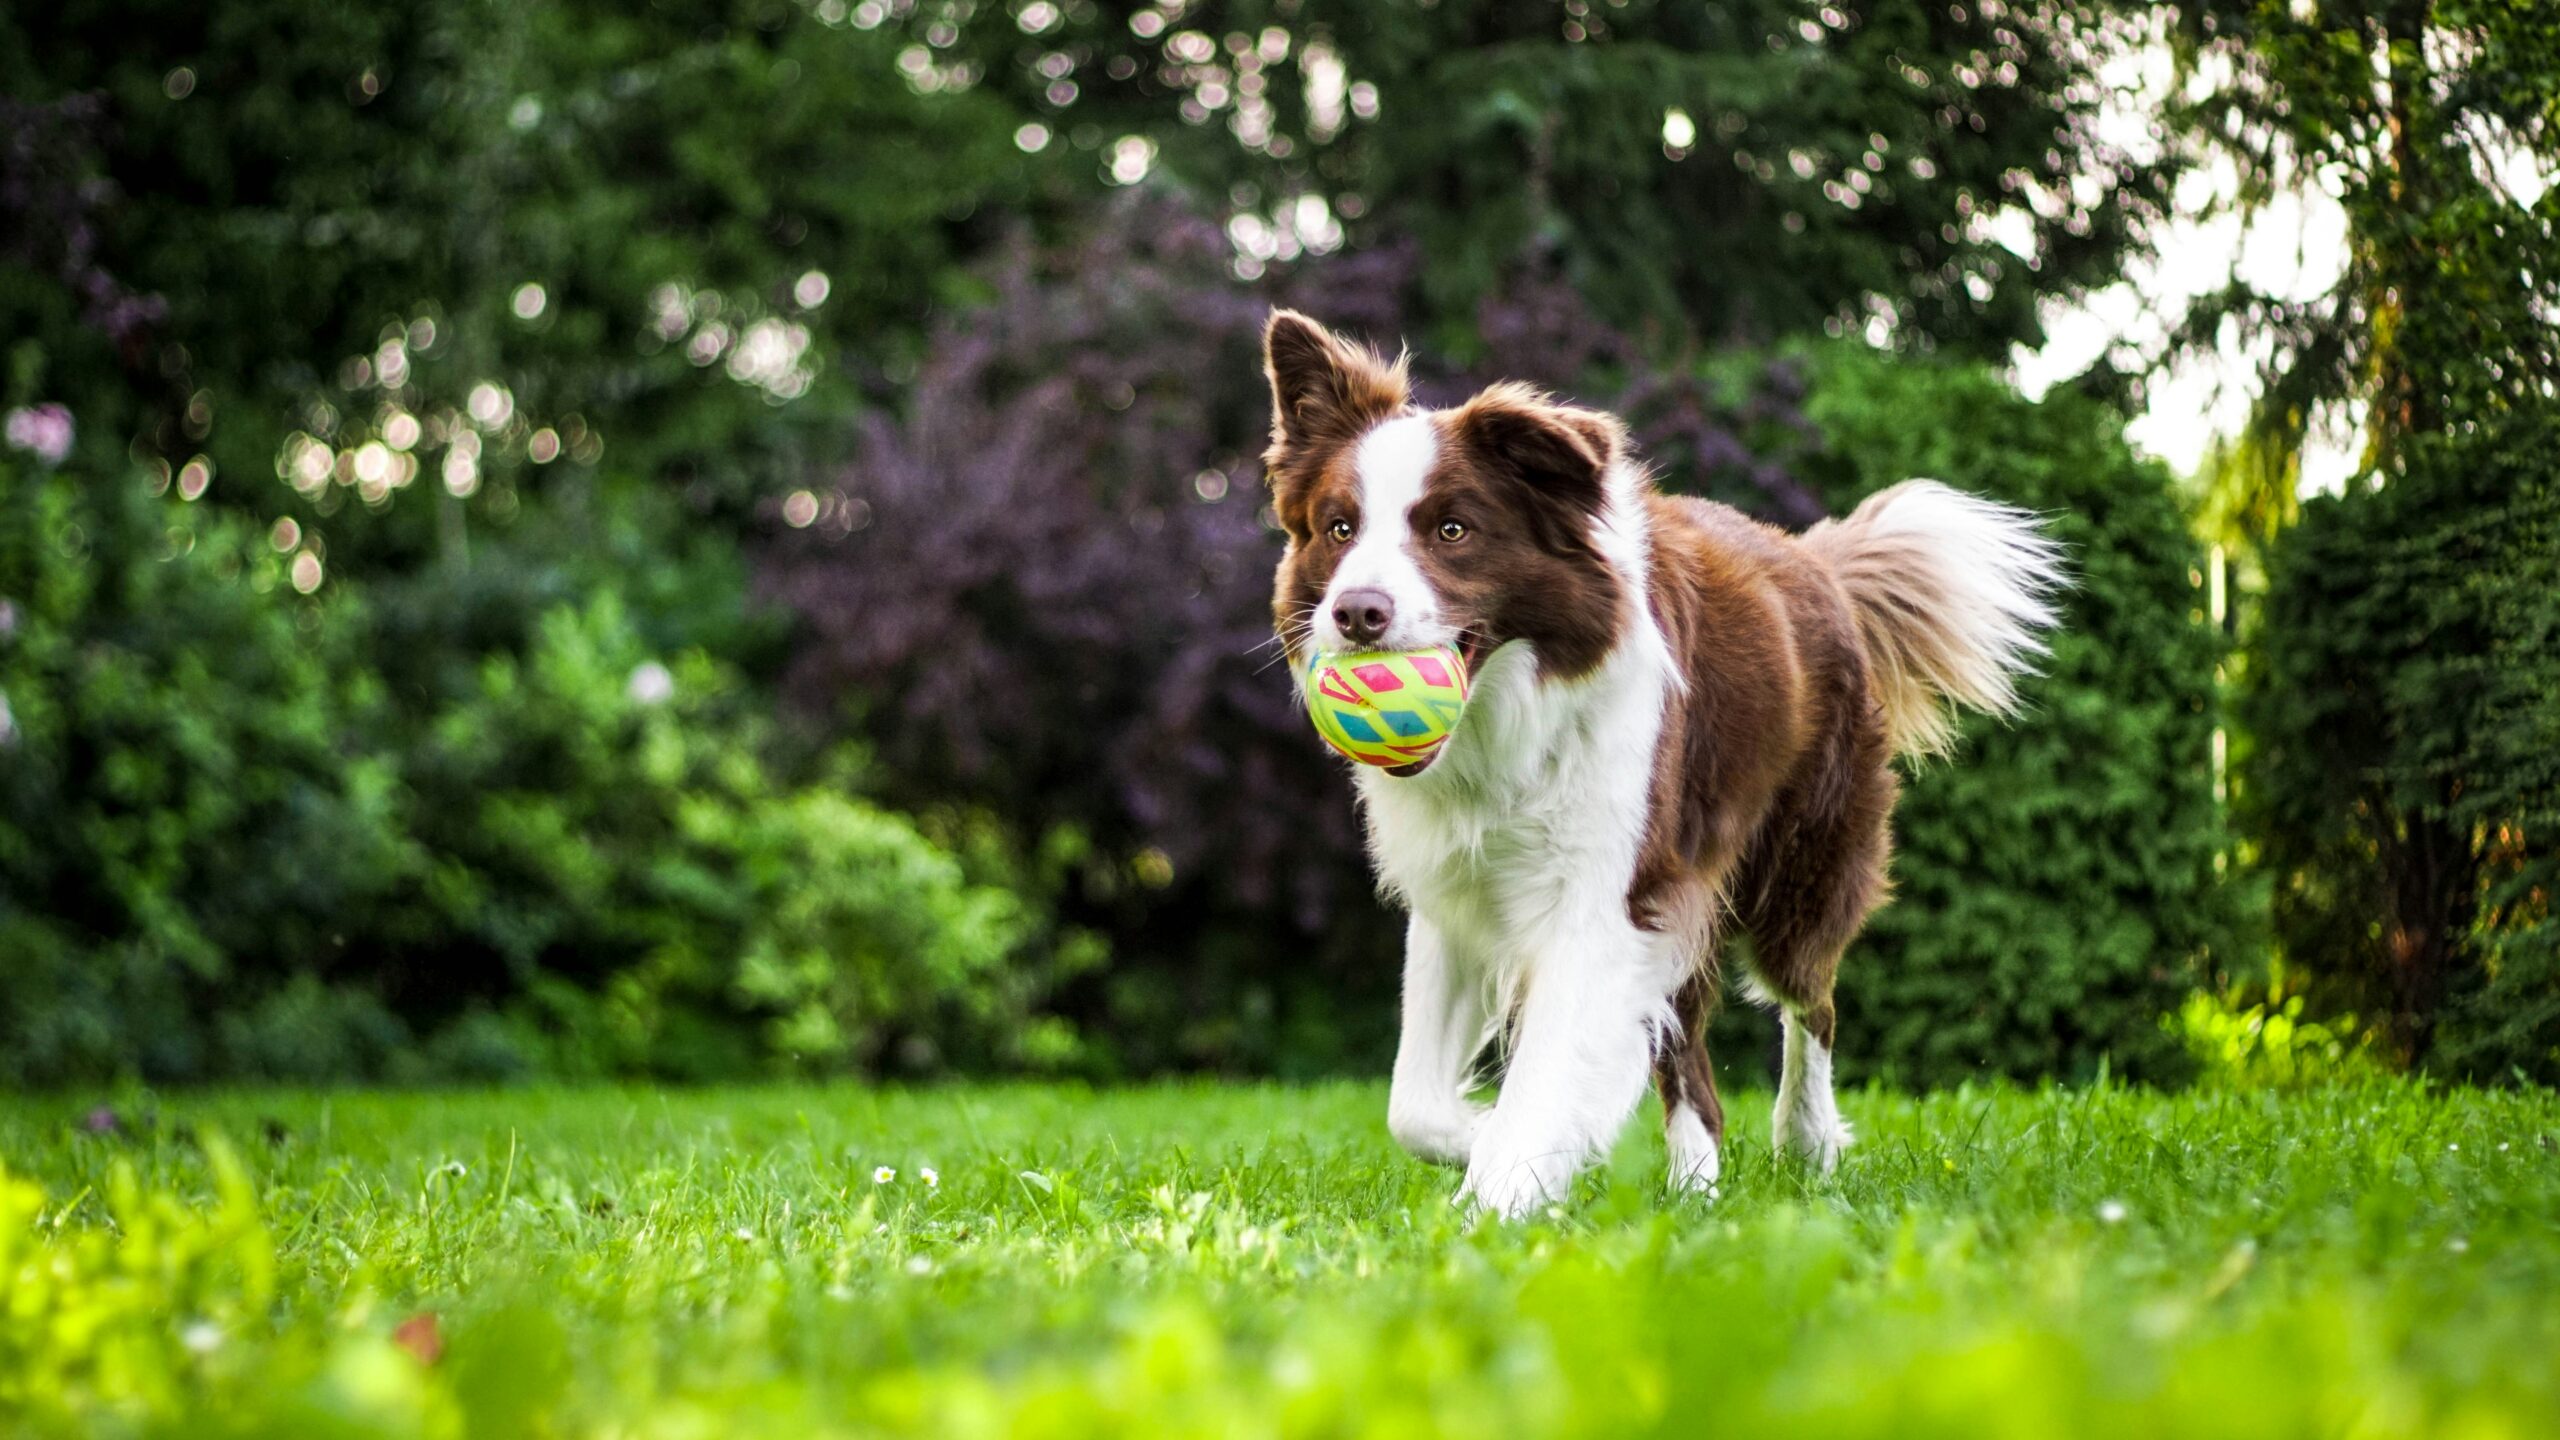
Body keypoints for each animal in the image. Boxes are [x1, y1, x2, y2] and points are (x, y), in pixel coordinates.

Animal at [1269, 311, 2068, 1209]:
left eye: (1452, 530)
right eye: (1339, 529)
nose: (1356, 613)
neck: (1507, 720)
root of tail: (1814, 561)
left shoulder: (1606, 894)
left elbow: (1546, 1071)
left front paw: (1502, 1191)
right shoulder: (1460, 893)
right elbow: (1413, 1105)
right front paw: (1497, 1144)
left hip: (1799, 864)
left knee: (1811, 1002)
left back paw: (1806, 1142)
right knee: (1691, 1059)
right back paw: (1695, 1190)